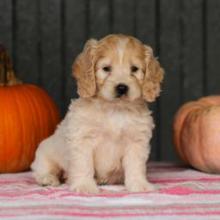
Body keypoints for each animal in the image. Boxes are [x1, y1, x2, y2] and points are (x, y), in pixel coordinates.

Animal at [31, 34, 164, 192]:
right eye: (106, 68)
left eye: (134, 69)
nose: (122, 87)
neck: (115, 109)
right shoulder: (83, 139)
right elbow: (84, 165)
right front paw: (84, 185)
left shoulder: (136, 141)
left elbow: (135, 166)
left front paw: (139, 184)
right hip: (45, 154)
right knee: (43, 170)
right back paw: (48, 179)